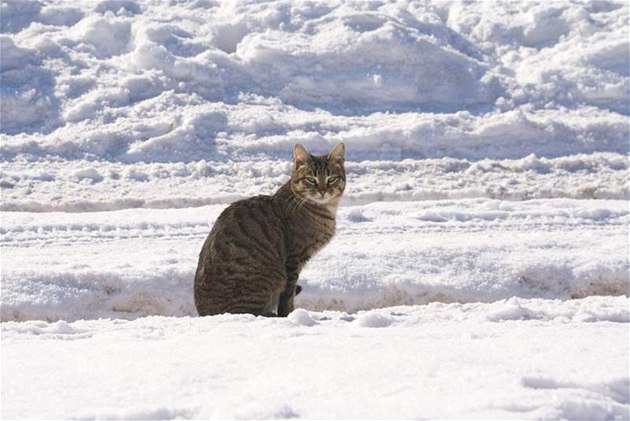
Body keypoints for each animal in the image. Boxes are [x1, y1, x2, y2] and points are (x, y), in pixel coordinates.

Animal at [195, 143, 348, 316]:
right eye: (311, 179)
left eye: (331, 179)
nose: (322, 191)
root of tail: (205, 313)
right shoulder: (294, 259)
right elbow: (288, 294)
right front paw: (289, 314)